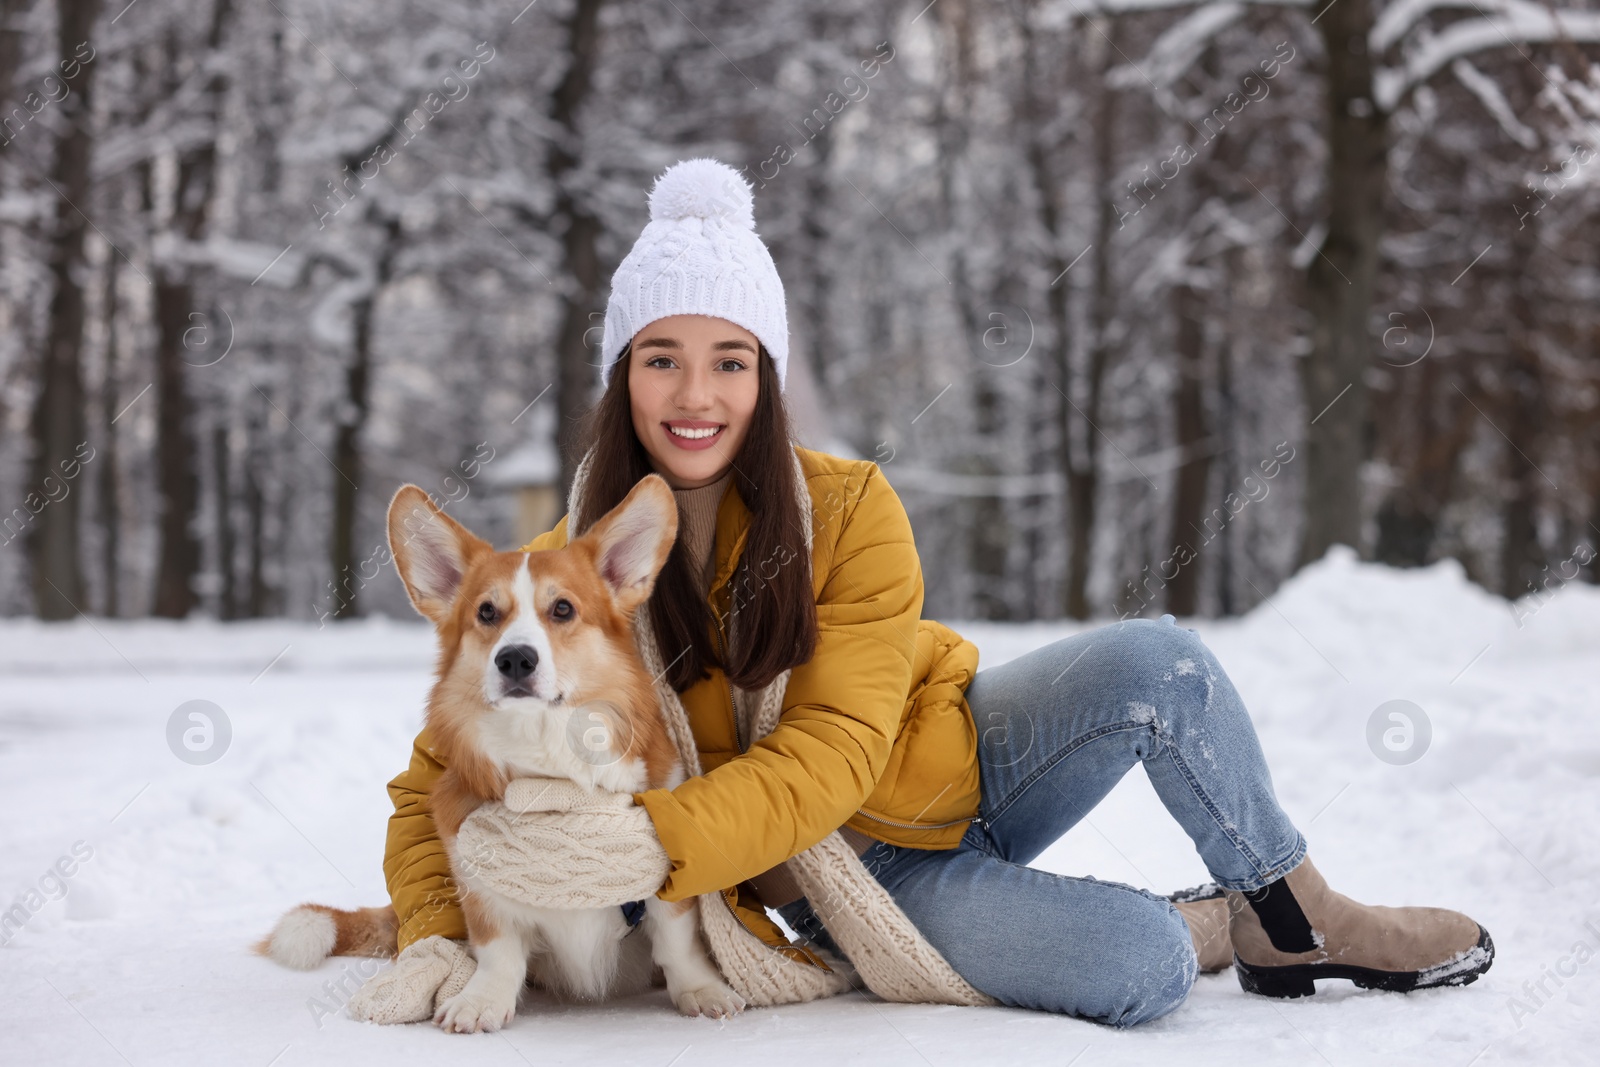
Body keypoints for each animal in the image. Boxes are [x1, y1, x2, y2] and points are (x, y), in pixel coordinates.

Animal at [259, 476, 745, 1036]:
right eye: (487, 613)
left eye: (563, 609)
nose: (514, 659)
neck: (546, 758)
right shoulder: (474, 871)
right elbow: (498, 950)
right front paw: (482, 1000)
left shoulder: (662, 860)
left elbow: (676, 936)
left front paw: (700, 990)